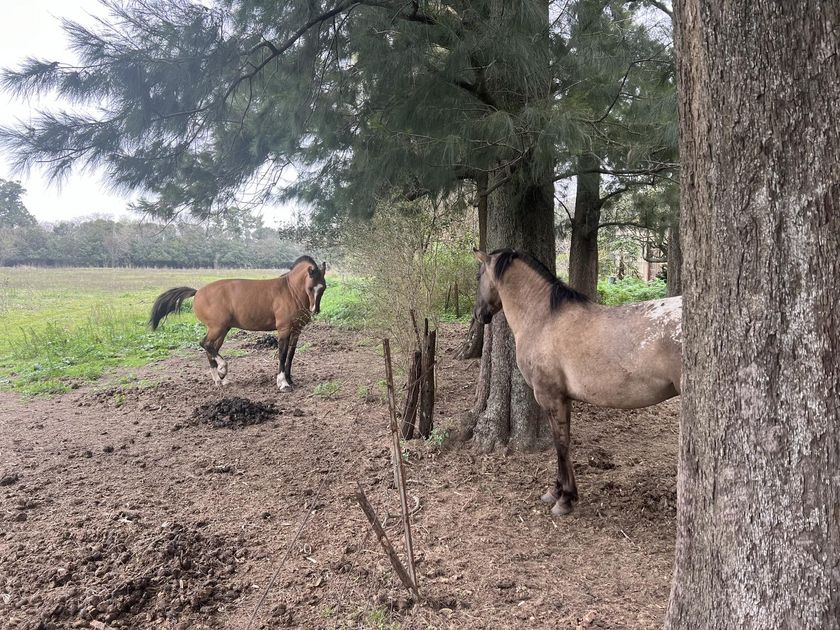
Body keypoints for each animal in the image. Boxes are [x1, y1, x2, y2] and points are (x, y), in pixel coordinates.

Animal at [149, 256, 327, 391]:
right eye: (310, 287)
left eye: (323, 287)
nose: (315, 310)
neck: (289, 292)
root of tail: (198, 292)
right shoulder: (283, 329)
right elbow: (282, 355)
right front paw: (282, 383)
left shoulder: (296, 330)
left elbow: (290, 355)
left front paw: (290, 380)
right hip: (217, 327)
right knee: (205, 344)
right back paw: (222, 370)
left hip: (222, 330)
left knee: (211, 348)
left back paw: (220, 379)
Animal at [472, 248, 681, 516]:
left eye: (479, 276)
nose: (479, 315)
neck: (544, 320)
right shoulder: (564, 398)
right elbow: (565, 440)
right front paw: (558, 491)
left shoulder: (550, 397)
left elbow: (559, 444)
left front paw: (564, 499)